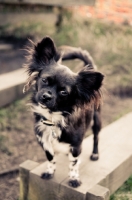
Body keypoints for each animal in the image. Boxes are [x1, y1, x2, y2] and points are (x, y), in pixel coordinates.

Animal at [23, 36, 104, 188]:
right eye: (44, 80)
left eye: (63, 92)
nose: (46, 96)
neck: (52, 118)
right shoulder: (45, 142)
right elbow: (50, 158)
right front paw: (50, 171)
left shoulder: (76, 146)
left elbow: (73, 164)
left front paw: (74, 178)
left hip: (97, 120)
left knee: (96, 137)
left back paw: (95, 154)